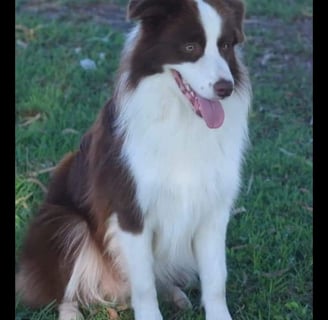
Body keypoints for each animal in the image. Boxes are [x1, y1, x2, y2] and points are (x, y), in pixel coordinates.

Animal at [16, 0, 251, 320]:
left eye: (226, 45)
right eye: (190, 47)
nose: (225, 88)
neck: (181, 119)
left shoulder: (213, 210)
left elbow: (216, 277)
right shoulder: (129, 210)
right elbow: (143, 283)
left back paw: (175, 294)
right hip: (63, 224)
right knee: (63, 288)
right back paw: (71, 312)